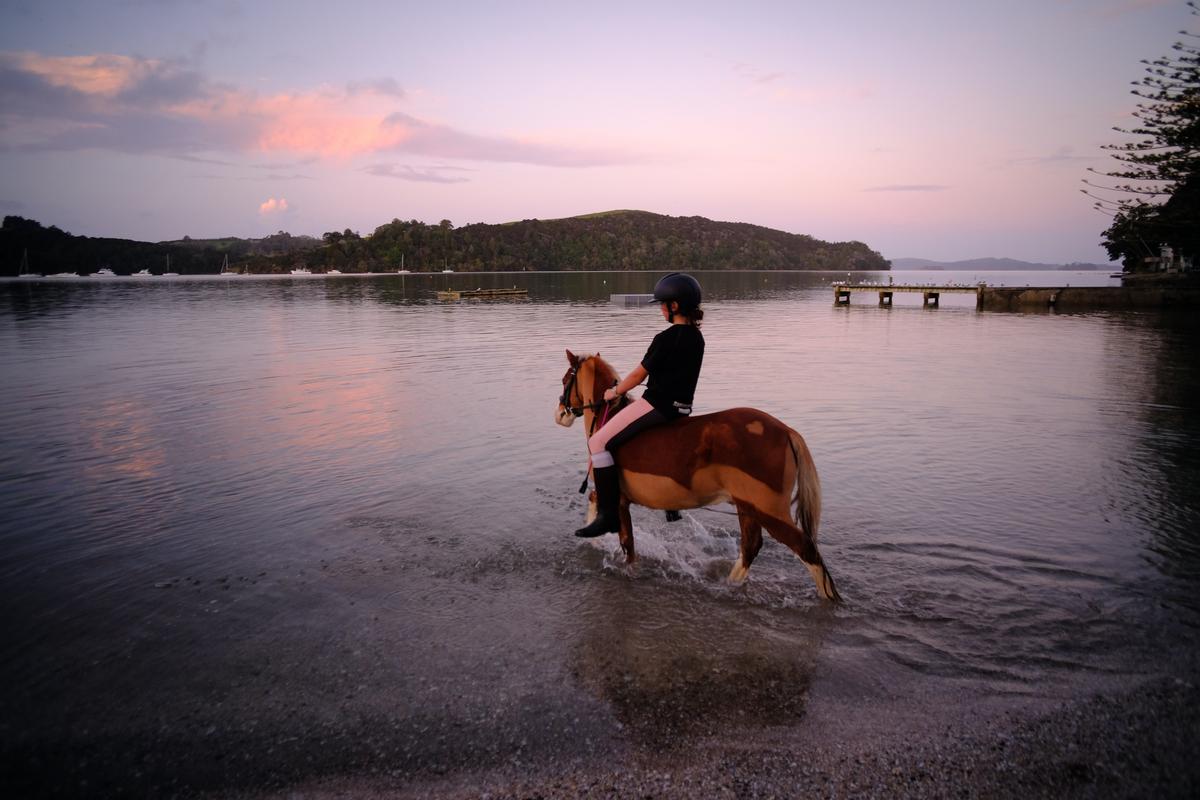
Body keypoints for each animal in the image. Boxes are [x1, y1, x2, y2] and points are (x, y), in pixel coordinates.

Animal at [556, 350, 840, 599]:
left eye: (565, 379)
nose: (559, 414)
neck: (609, 414)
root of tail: (785, 431)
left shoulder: (619, 500)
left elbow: (627, 544)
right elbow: (597, 502)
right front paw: (593, 537)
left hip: (769, 511)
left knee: (805, 549)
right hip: (747, 508)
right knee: (751, 547)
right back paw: (729, 583)